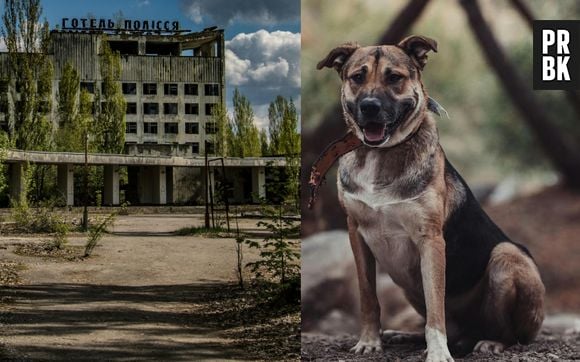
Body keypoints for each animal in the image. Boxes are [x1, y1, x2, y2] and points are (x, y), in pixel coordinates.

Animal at [318, 35, 544, 360]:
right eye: (357, 77)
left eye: (394, 78)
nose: (369, 107)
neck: (380, 153)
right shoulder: (356, 233)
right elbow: (369, 297)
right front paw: (370, 341)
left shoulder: (431, 241)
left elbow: (436, 306)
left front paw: (438, 352)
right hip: (408, 287)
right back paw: (405, 335)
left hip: (507, 256)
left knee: (510, 333)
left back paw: (491, 341)